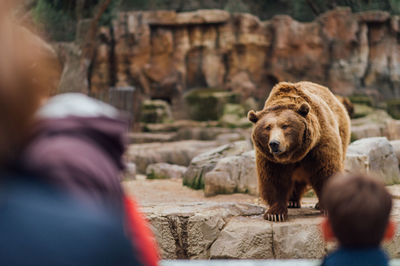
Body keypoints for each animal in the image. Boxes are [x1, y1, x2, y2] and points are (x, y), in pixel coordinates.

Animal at [248, 81, 348, 222]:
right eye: (267, 127)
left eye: (285, 125)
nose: (274, 144)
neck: (294, 154)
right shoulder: (269, 157)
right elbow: (274, 178)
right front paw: (275, 213)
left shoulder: (319, 143)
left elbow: (325, 171)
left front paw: (327, 207)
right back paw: (292, 201)